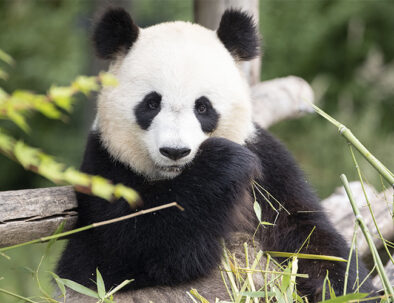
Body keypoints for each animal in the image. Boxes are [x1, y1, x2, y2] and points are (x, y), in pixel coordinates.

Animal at [57, 7, 378, 303]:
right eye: (151, 104)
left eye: (203, 107)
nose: (175, 151)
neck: (174, 180)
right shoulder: (105, 167)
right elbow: (117, 253)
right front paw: (221, 162)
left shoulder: (269, 168)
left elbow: (309, 242)